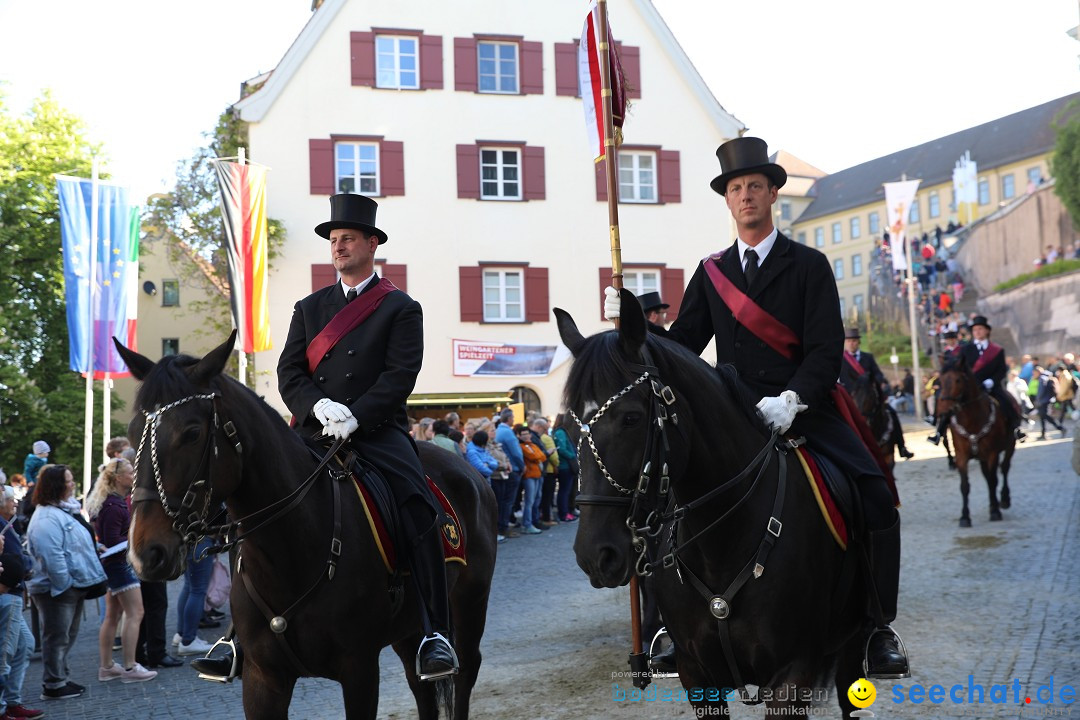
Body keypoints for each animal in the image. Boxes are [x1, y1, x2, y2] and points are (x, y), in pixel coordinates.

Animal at [115, 334, 496, 716]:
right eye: (132, 433)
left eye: (192, 433)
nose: (145, 554)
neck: (291, 552)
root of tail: (470, 472)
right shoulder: (262, 680)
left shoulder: (360, 671)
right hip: (409, 629)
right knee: (421, 688)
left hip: (469, 602)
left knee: (464, 673)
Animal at [557, 291, 868, 716]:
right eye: (569, 427)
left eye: (632, 418)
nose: (595, 555)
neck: (722, 542)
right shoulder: (698, 676)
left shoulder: (791, 675)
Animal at [937, 356, 1010, 528]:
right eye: (941, 380)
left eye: (958, 380)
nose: (943, 409)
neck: (972, 419)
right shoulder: (962, 456)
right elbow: (965, 486)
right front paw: (965, 517)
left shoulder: (992, 454)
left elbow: (993, 480)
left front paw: (995, 511)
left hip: (1010, 445)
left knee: (1004, 469)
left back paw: (1003, 499)